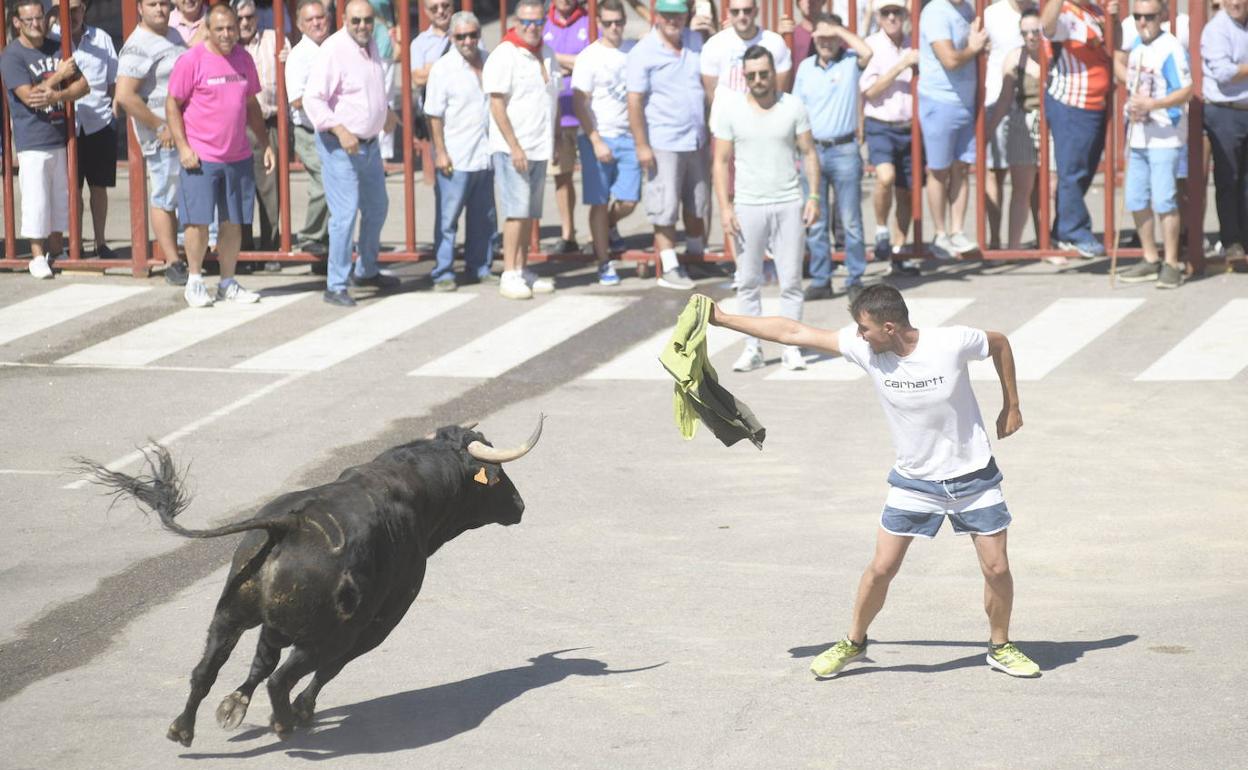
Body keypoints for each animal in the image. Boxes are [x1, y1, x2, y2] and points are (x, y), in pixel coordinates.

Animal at [78, 414, 544, 743]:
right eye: (496, 479)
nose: (521, 506)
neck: (413, 487)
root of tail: (290, 524)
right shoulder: (381, 621)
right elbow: (328, 669)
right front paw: (300, 709)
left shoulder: (272, 624)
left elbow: (259, 661)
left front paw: (235, 704)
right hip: (325, 632)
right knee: (287, 676)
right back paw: (285, 721)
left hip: (230, 612)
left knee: (208, 668)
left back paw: (183, 728)